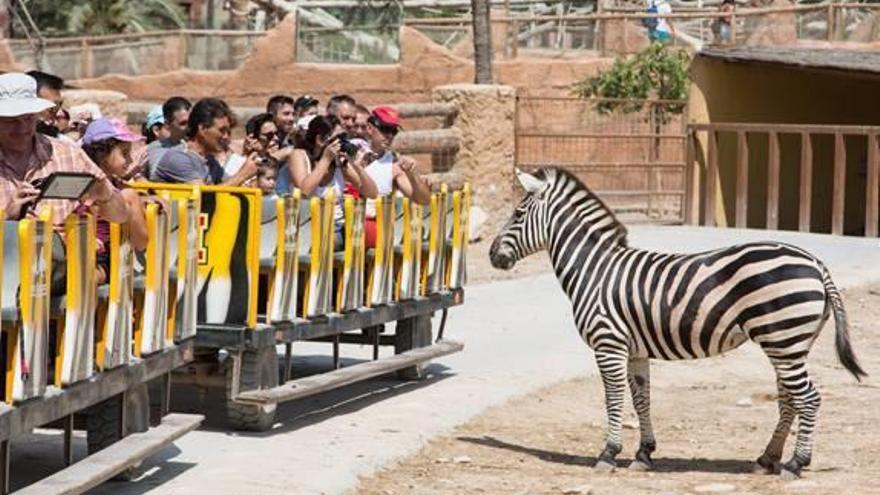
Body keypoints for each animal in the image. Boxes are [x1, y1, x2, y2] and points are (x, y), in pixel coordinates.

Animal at [488, 168, 868, 480]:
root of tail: (817, 263)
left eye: (518, 214)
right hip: (789, 342)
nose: (492, 255)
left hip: (783, 339)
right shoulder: (635, 349)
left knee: (809, 398)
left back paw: (795, 464)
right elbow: (641, 399)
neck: (593, 270)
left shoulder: (608, 343)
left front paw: (609, 454)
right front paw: (644, 454)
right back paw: (767, 460)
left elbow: (613, 398)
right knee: (790, 399)